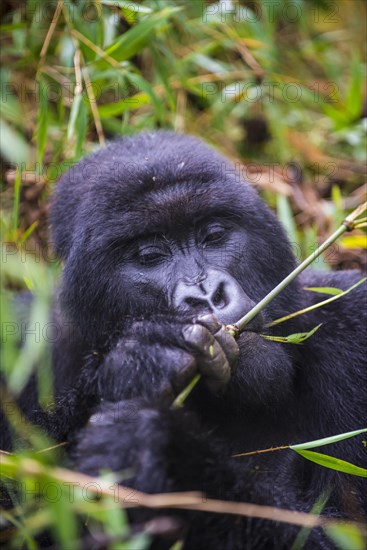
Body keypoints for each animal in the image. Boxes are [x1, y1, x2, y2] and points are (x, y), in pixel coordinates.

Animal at [3, 134, 367, 550]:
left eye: (214, 236)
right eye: (150, 255)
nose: (207, 296)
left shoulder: (352, 323)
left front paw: (167, 454)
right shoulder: (22, 340)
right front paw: (140, 361)